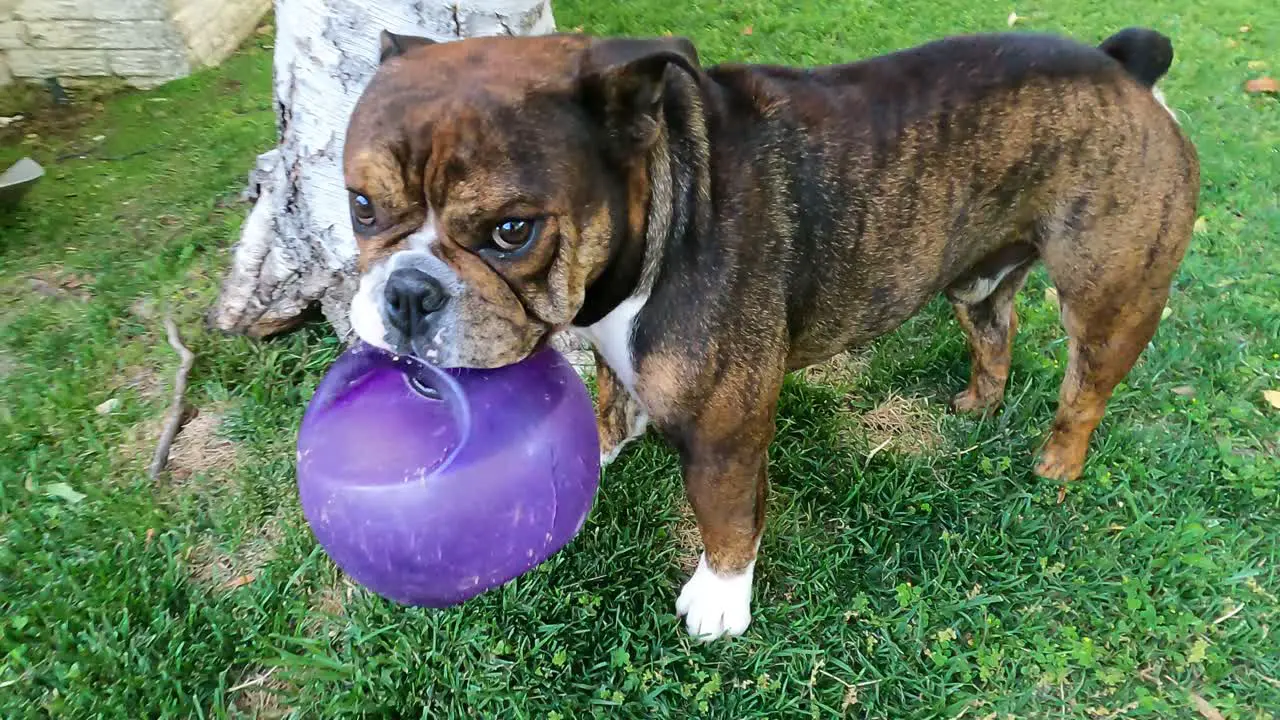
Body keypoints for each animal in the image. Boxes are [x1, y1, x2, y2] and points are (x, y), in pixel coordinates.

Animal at [343, 28, 1198, 635]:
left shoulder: (725, 432)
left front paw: (720, 602)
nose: (409, 293)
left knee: (1086, 385)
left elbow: (725, 514)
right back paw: (978, 405)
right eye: (360, 206)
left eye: (512, 231)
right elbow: (612, 405)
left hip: (1109, 295)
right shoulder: (623, 365)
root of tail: (1126, 68)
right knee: (996, 330)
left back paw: (1058, 462)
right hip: (977, 280)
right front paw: (599, 452)